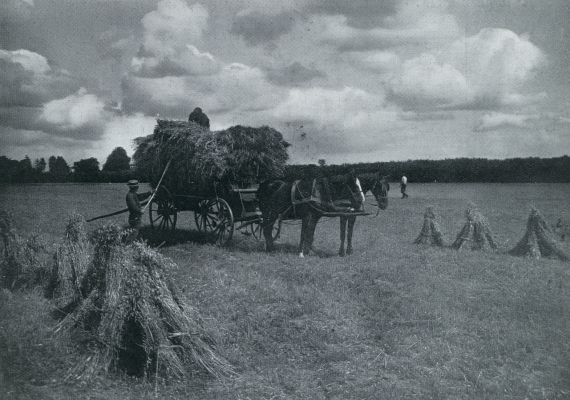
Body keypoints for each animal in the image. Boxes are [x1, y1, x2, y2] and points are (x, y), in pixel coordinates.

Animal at [258, 172, 388, 256]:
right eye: (354, 186)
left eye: (388, 188)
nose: (384, 205)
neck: (320, 191)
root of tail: (265, 184)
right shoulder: (310, 215)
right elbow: (305, 233)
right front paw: (302, 252)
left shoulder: (321, 215)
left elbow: (312, 233)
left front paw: (308, 250)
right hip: (269, 212)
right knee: (266, 229)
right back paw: (270, 248)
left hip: (272, 213)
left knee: (267, 229)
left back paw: (270, 247)